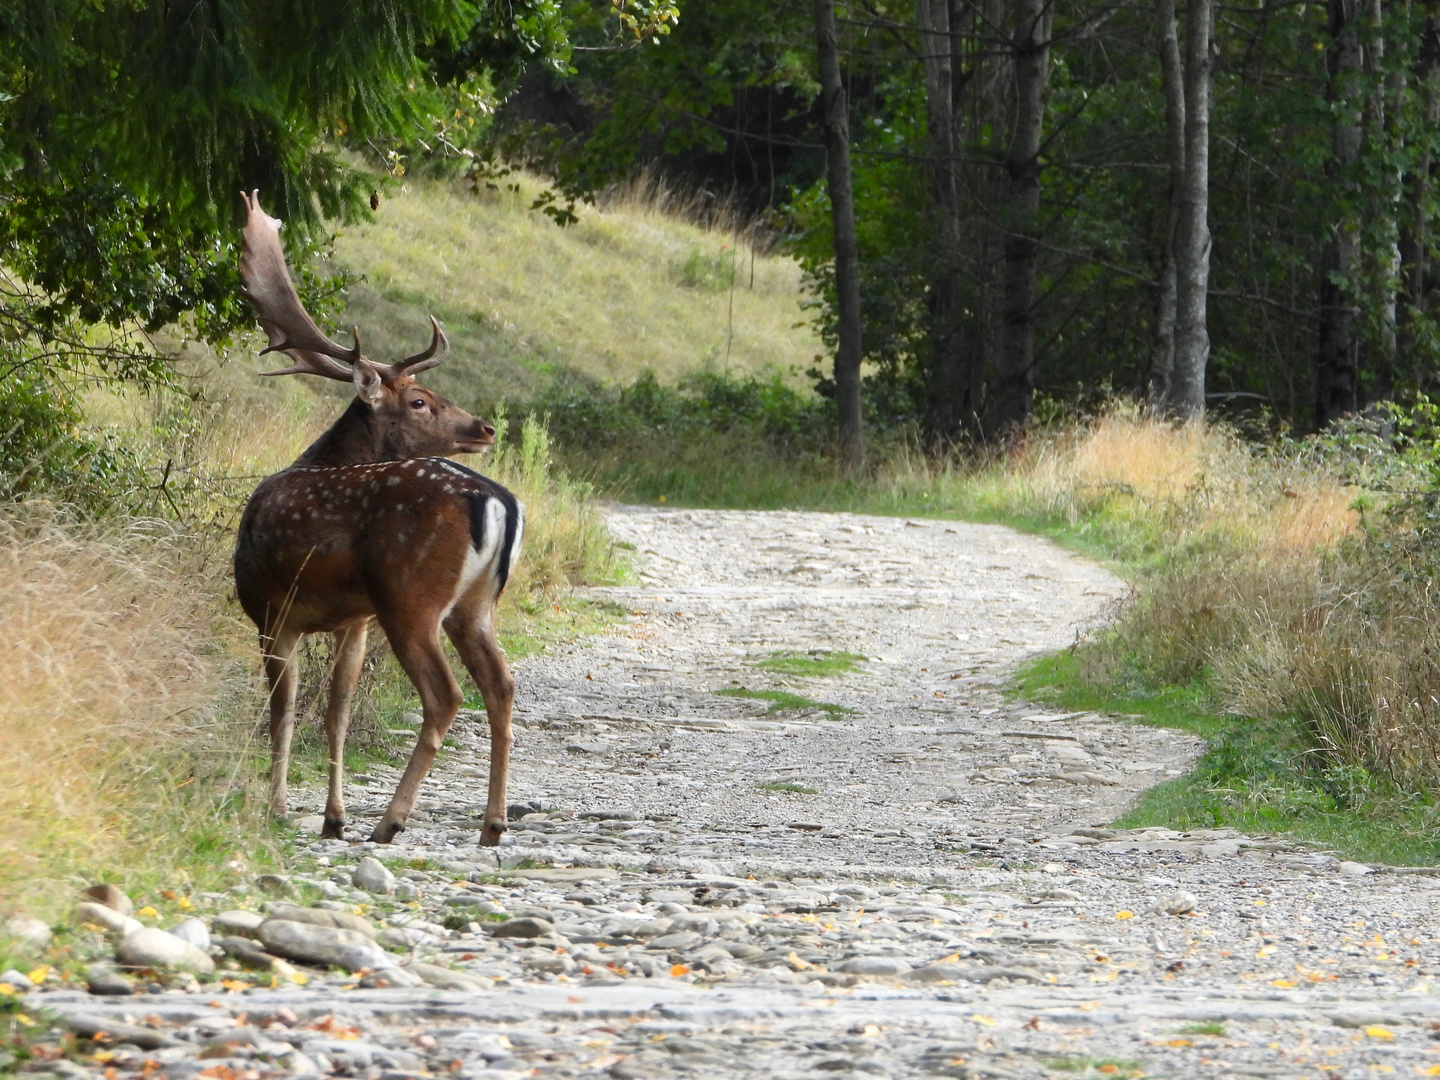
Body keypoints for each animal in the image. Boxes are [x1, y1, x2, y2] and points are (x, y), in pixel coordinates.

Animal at [233, 197, 527, 852]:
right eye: (419, 399)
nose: (485, 427)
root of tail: (497, 502)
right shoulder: (354, 620)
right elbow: (335, 710)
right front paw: (331, 816)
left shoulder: (271, 608)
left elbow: (282, 708)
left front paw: (278, 806)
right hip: (474, 604)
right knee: (501, 684)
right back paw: (492, 824)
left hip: (410, 594)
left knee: (446, 695)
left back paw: (391, 821)